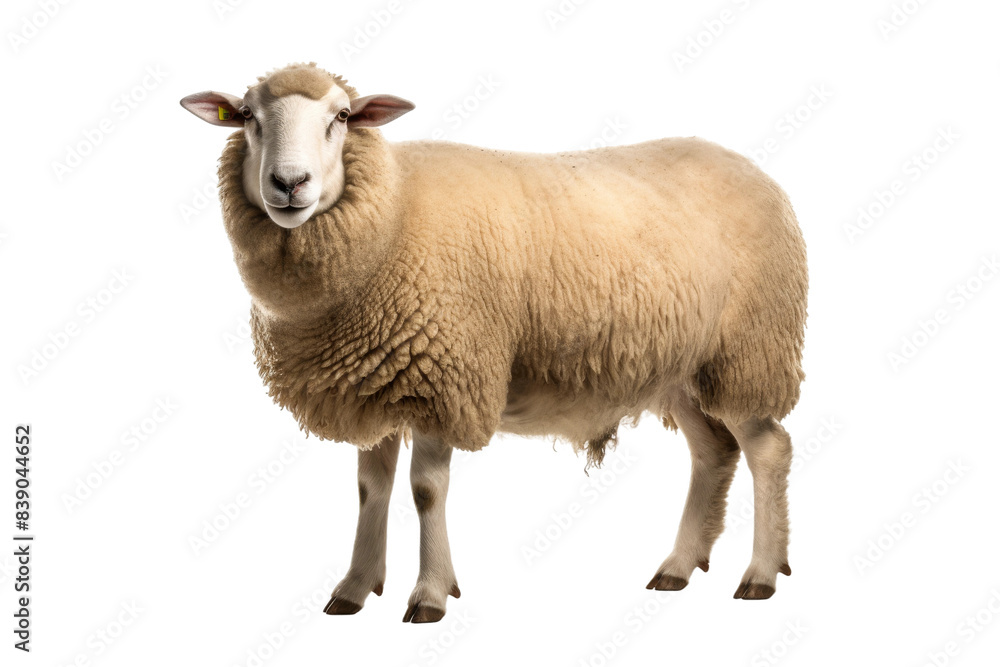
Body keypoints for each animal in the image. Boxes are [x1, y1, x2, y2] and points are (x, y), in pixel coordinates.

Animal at [181, 62, 808, 623]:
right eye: (247, 117)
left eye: (340, 116)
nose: (289, 184)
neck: (392, 216)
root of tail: (755, 171)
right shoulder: (375, 381)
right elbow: (369, 488)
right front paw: (355, 589)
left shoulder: (444, 376)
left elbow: (425, 490)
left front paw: (430, 595)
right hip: (682, 367)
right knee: (713, 451)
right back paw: (678, 566)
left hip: (749, 351)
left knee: (767, 449)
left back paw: (760, 575)